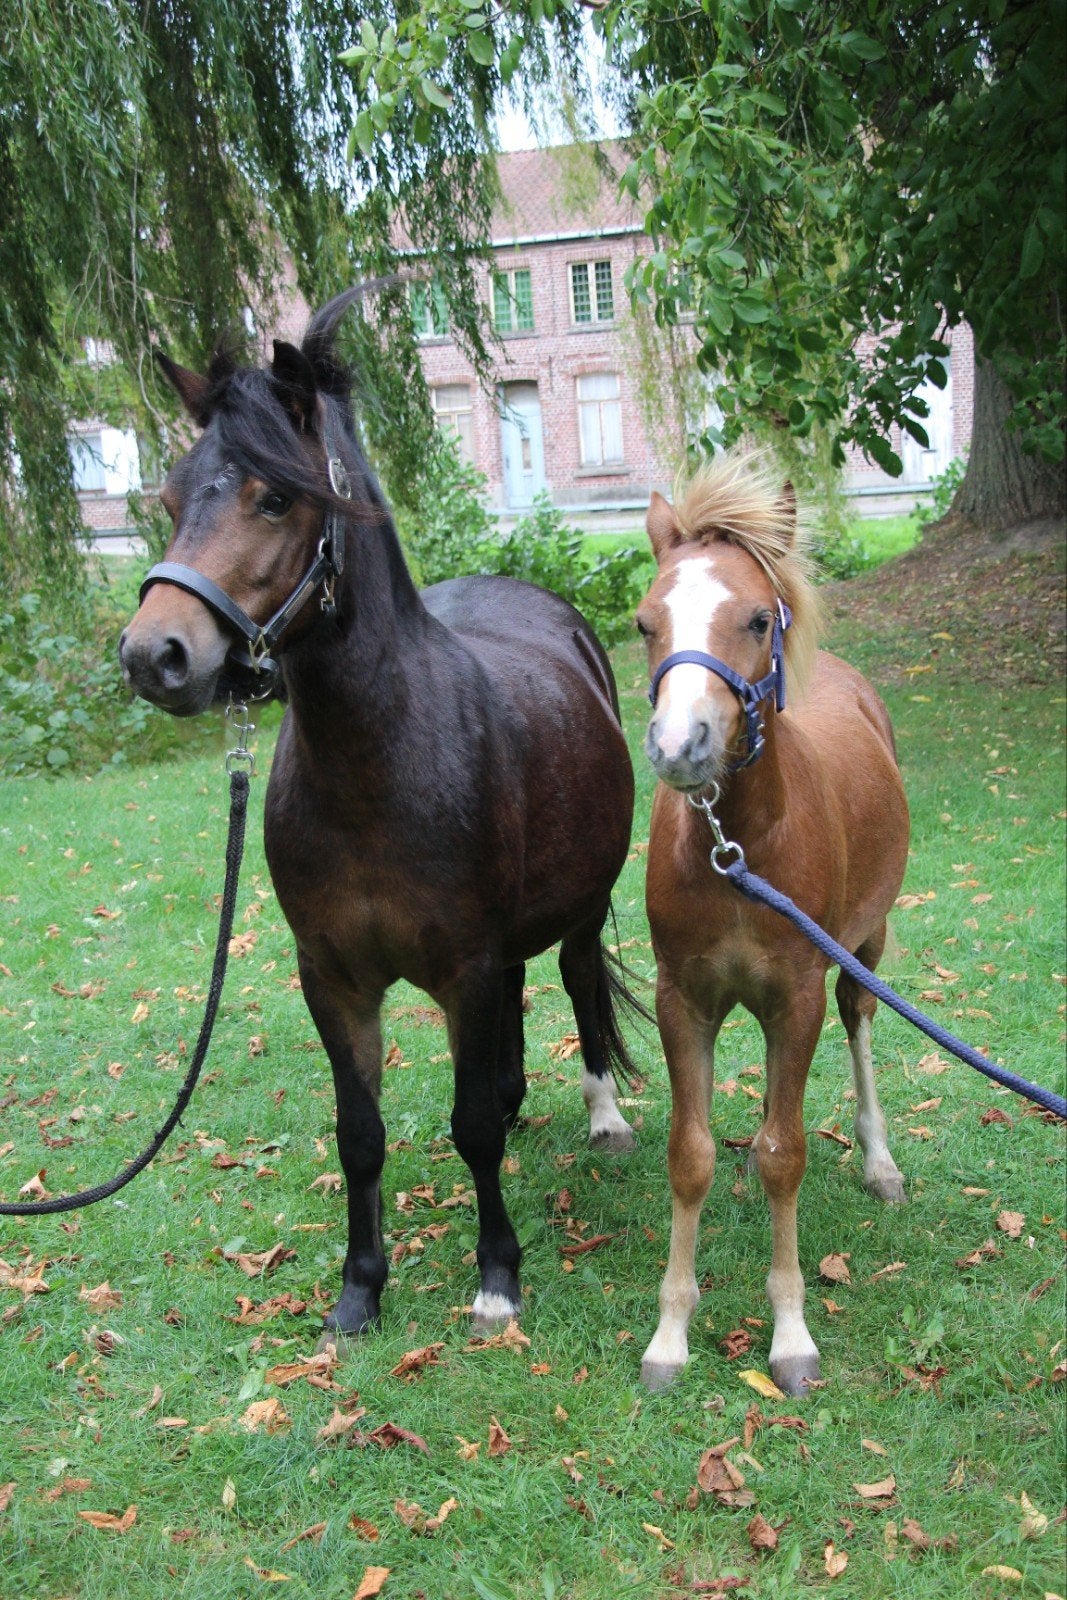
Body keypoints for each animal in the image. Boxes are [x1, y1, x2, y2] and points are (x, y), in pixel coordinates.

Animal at [119, 288, 643, 1340]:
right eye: (172, 497)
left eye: (274, 498)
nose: (155, 654)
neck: (378, 764)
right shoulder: (333, 977)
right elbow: (359, 1133)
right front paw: (359, 1287)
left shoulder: (464, 968)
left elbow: (469, 1126)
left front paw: (496, 1277)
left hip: (574, 912)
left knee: (576, 986)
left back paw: (601, 1115)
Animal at [635, 452, 909, 1396]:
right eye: (644, 624)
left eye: (756, 619)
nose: (679, 746)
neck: (737, 850)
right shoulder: (682, 998)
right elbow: (689, 1156)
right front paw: (669, 1335)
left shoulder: (796, 994)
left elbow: (785, 1154)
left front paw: (789, 1333)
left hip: (862, 947)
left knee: (859, 1024)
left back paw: (878, 1161)